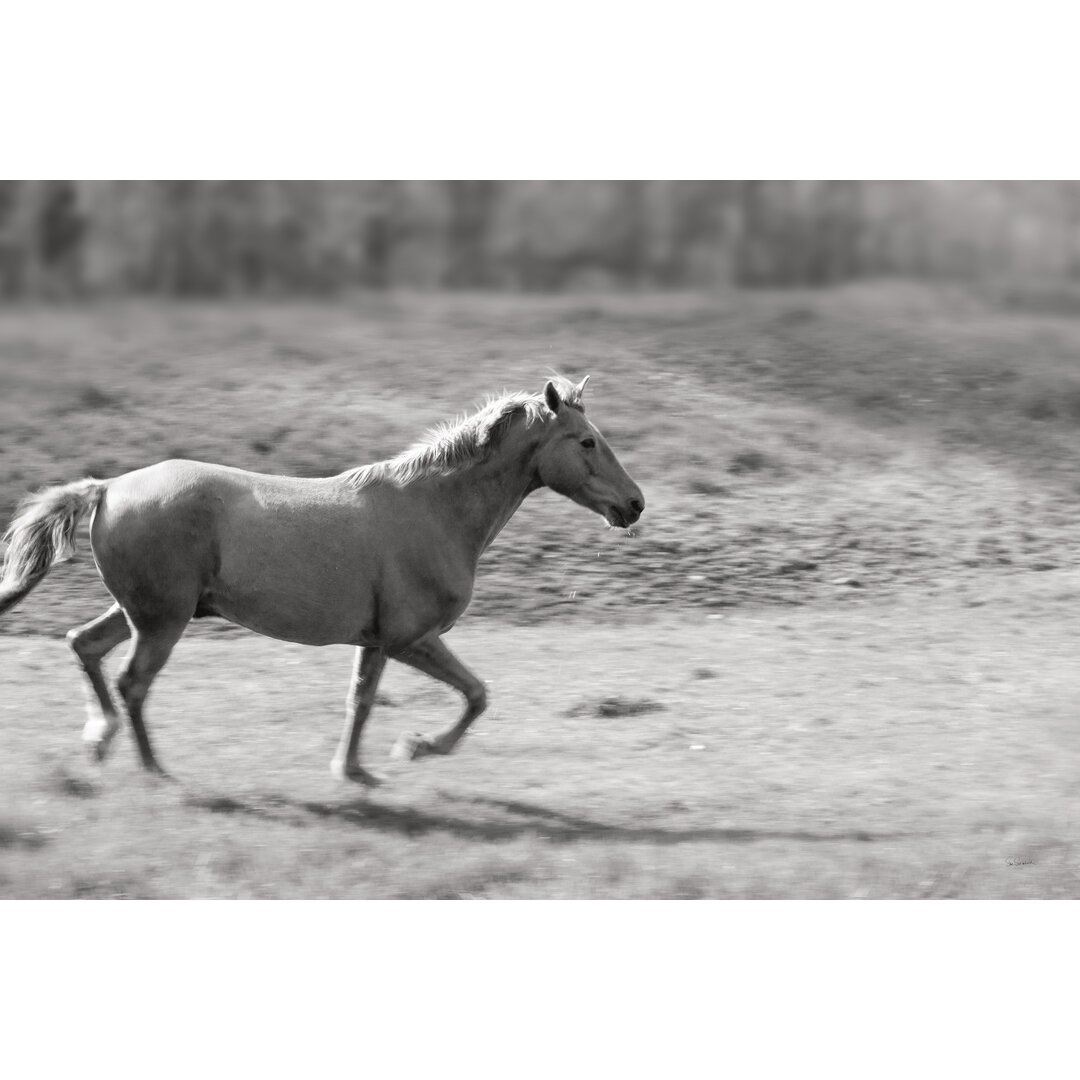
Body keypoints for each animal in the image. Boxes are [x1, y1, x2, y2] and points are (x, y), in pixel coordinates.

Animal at [0, 375, 639, 781]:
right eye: (586, 441)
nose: (634, 505)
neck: (434, 509)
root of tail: (107, 487)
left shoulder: (376, 641)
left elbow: (361, 701)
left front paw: (353, 771)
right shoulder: (411, 638)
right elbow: (476, 694)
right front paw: (415, 748)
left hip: (147, 612)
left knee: (84, 645)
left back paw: (99, 741)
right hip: (162, 621)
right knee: (132, 683)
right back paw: (155, 770)